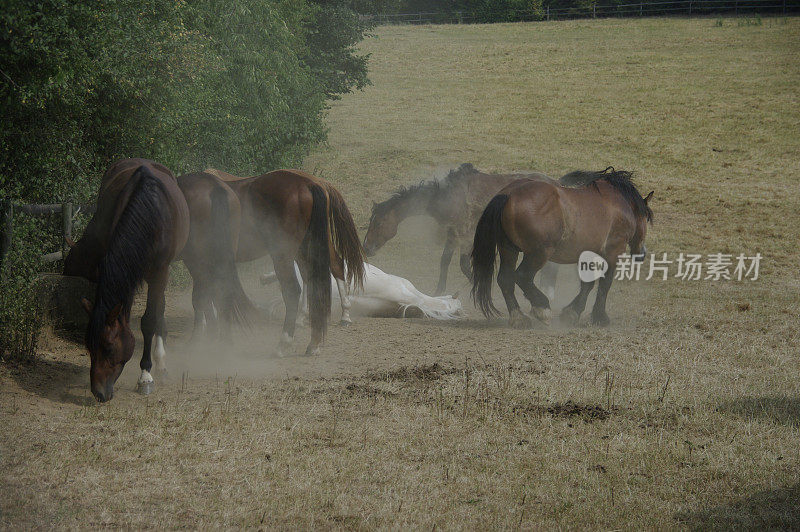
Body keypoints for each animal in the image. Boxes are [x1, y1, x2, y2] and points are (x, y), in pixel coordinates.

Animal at [63, 160, 190, 402]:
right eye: (88, 347)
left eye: (109, 348)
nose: (99, 392)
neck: (149, 214)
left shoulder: (160, 272)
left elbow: (150, 319)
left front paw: (146, 375)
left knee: (159, 308)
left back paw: (160, 363)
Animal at [202, 168, 368, 356]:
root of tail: (311, 184)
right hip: (313, 244)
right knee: (332, 267)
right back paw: (326, 328)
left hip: (285, 252)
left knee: (294, 289)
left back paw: (284, 342)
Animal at [472, 168, 652, 328]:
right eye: (646, 218)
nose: (642, 254)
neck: (620, 205)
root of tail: (509, 194)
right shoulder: (613, 252)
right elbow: (604, 284)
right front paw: (600, 317)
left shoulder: (588, 255)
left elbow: (587, 284)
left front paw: (572, 312)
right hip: (539, 253)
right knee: (522, 276)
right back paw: (542, 308)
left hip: (509, 249)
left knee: (505, 279)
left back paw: (519, 318)